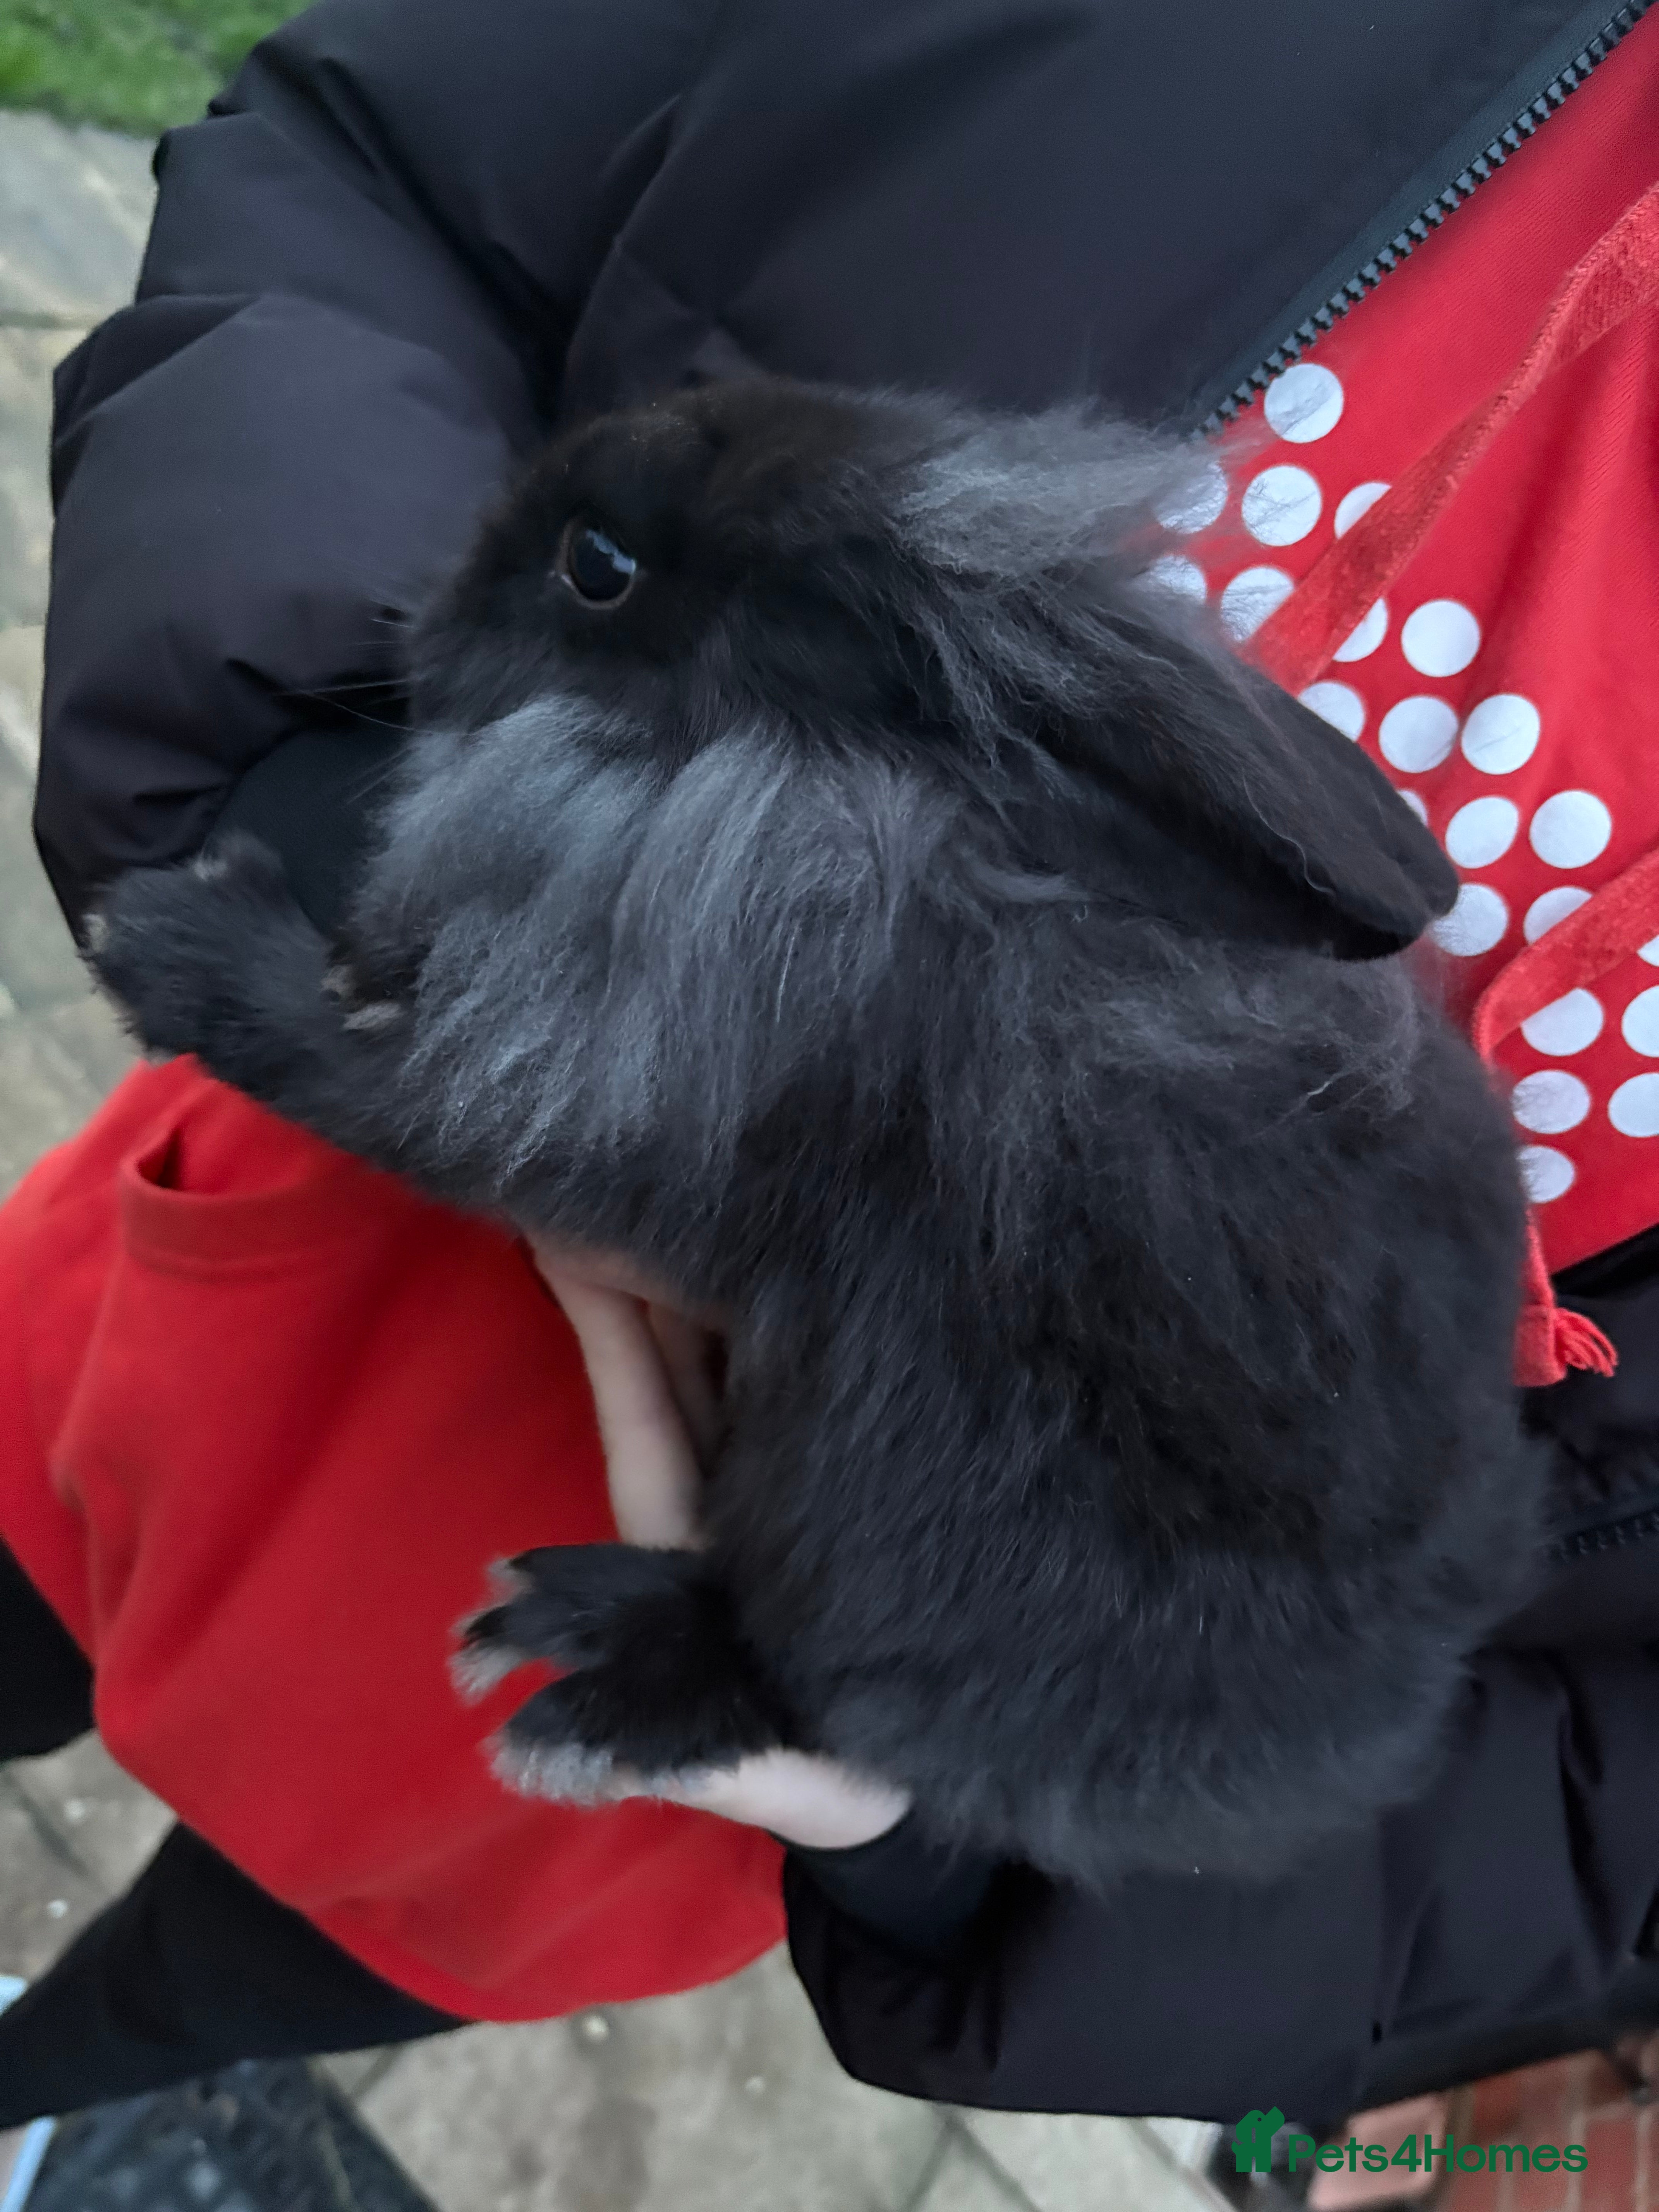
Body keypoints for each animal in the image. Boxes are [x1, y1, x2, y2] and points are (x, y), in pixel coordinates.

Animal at [87, 375, 1541, 1887]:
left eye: (596, 564)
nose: (417, 621)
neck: (807, 791)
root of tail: (1370, 1735)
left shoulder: (540, 1080)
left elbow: (346, 1068)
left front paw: (168, 932)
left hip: (891, 1544)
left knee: (829, 1697)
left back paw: (592, 1656)